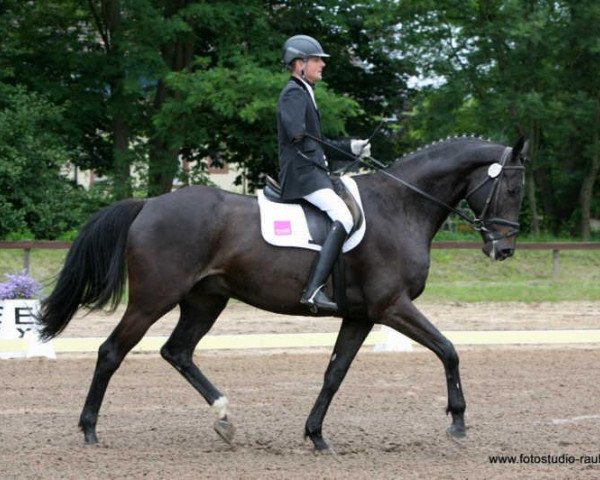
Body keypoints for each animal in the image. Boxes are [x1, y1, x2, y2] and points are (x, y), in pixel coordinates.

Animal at [37, 137, 524, 452]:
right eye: (512, 188)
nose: (503, 249)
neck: (400, 206)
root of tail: (150, 203)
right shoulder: (391, 306)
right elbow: (449, 350)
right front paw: (458, 422)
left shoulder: (361, 315)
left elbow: (334, 373)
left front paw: (316, 436)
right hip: (153, 298)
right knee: (111, 352)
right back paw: (89, 431)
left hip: (205, 300)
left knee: (178, 352)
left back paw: (225, 419)